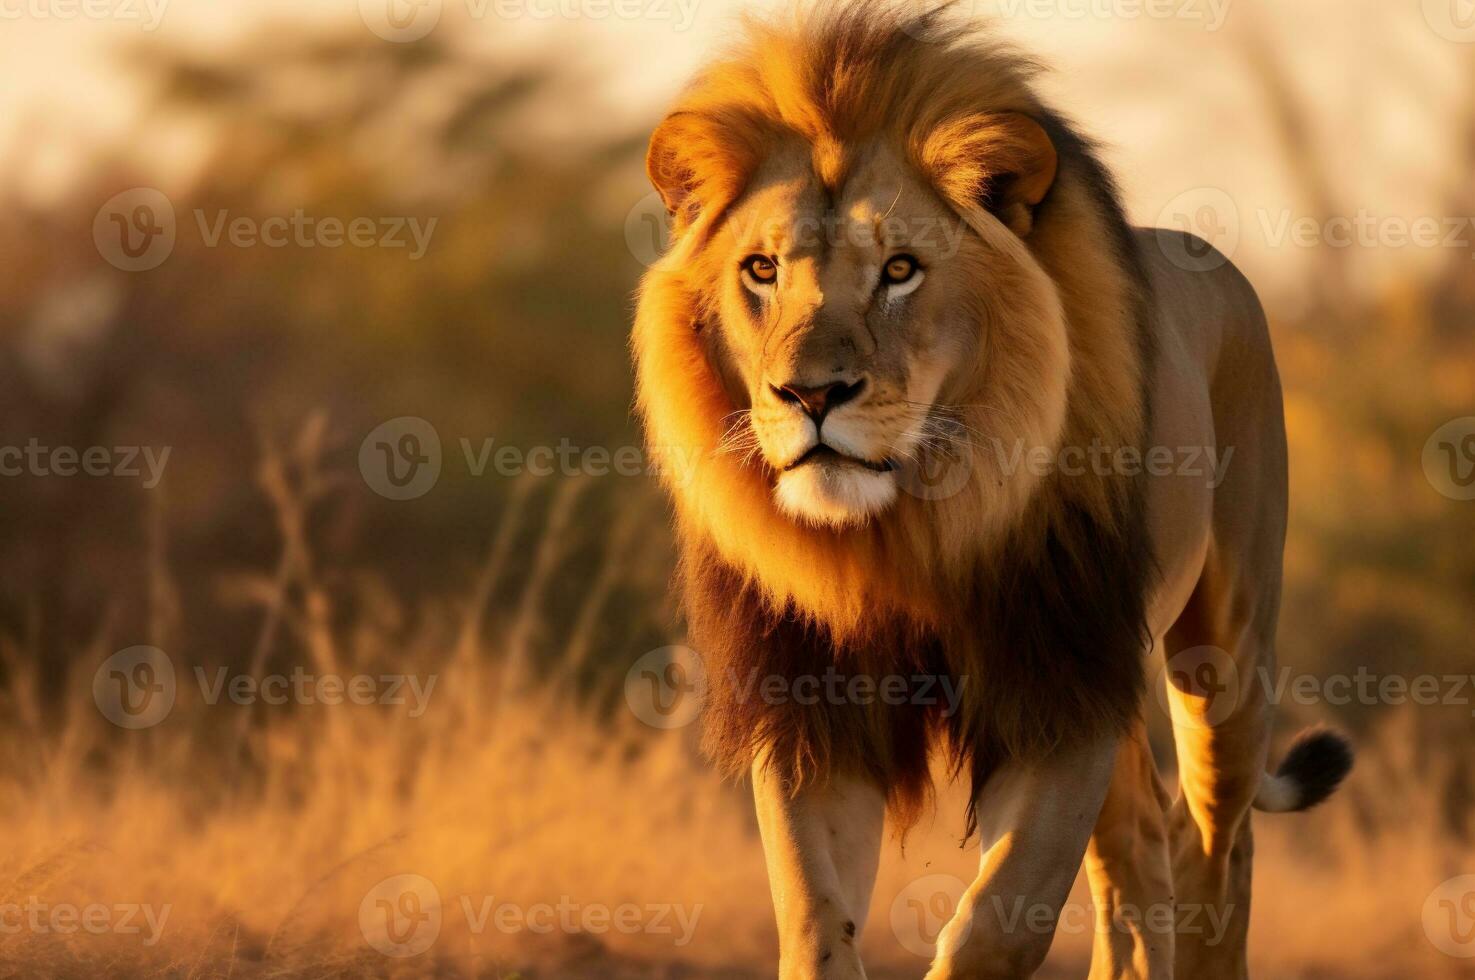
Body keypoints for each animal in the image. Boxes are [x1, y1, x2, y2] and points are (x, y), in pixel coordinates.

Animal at [628, 3, 1351, 974]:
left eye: (899, 270)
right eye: (761, 270)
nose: (810, 395)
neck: (906, 530)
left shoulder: (1057, 683)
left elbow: (1000, 920)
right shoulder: (809, 695)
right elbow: (815, 916)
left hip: (1223, 648)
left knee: (1216, 843)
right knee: (1141, 848)